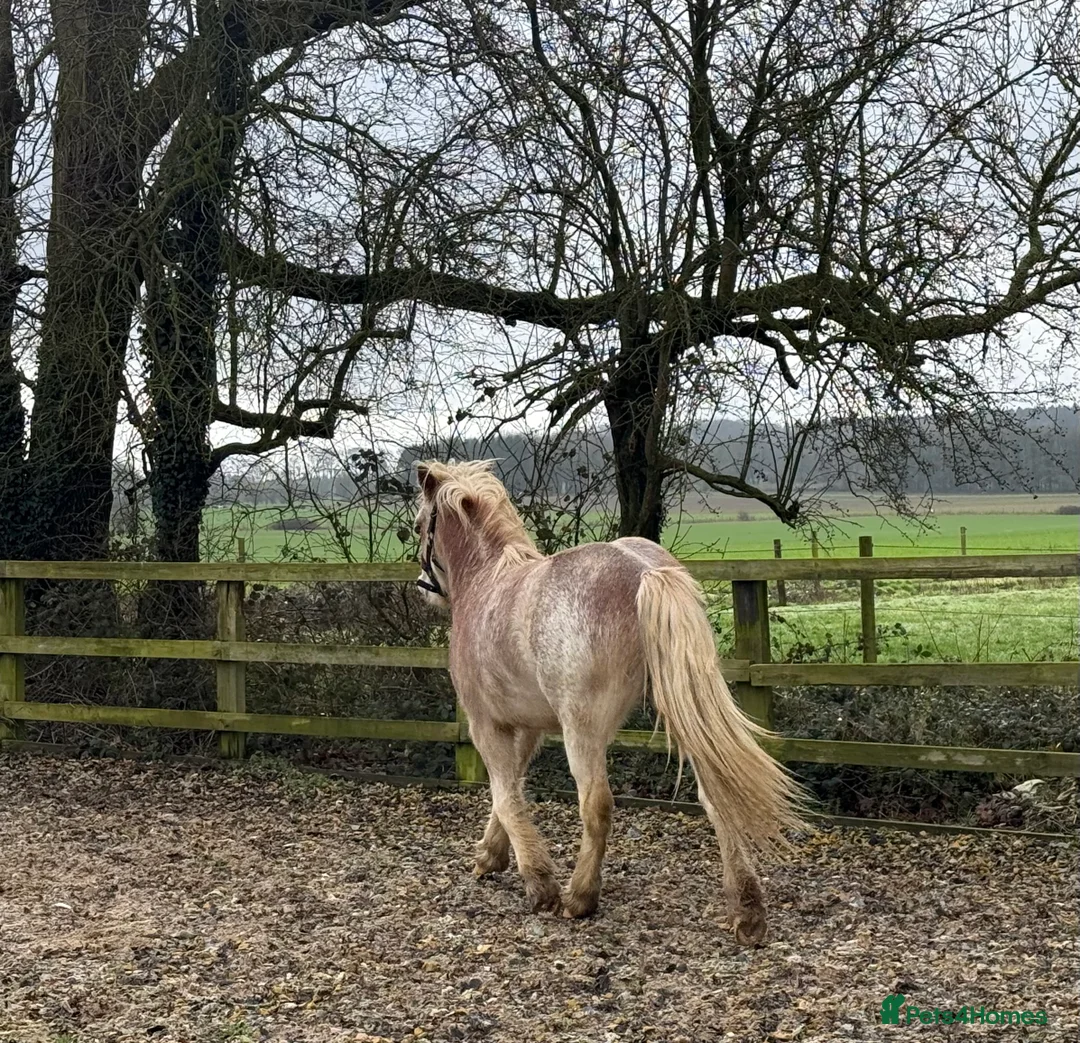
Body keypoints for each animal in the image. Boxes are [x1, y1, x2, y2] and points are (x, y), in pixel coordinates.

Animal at [413, 459, 805, 944]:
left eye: (418, 526)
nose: (423, 586)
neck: (486, 582)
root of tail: (644, 572)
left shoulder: (487, 724)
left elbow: (505, 796)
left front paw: (538, 883)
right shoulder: (528, 727)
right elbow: (512, 790)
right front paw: (490, 856)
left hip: (584, 730)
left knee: (596, 805)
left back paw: (579, 897)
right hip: (686, 713)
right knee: (717, 793)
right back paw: (747, 911)